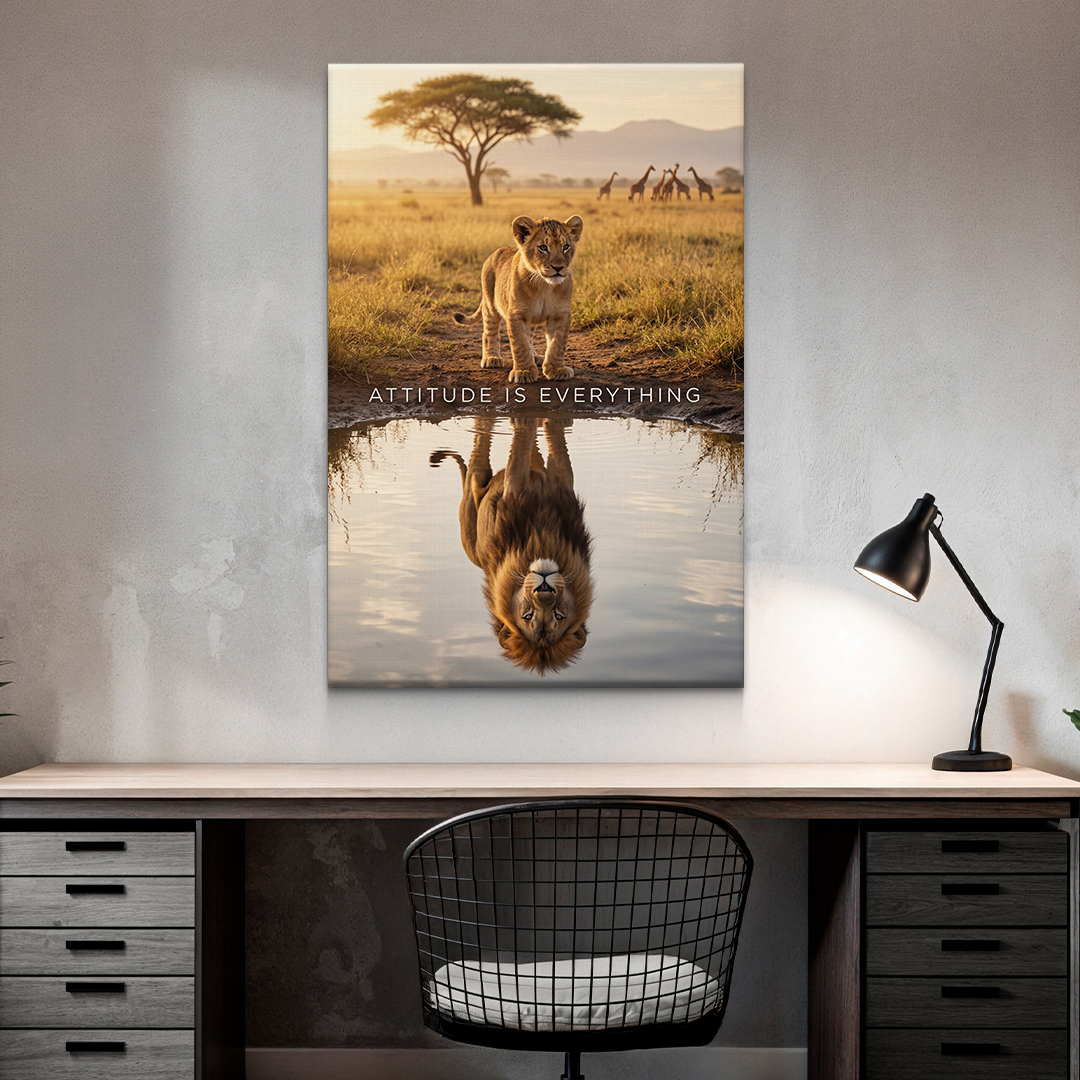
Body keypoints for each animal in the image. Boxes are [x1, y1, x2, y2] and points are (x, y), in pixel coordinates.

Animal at [430, 416, 593, 675]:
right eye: (527, 616)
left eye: (558, 616)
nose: (544, 589)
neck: (542, 537)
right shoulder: (515, 488)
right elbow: (519, 454)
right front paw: (524, 421)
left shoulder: (561, 484)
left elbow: (556, 447)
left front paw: (555, 421)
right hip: (473, 493)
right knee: (480, 450)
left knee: (534, 456)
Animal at [453, 215, 583, 384]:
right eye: (543, 247)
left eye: (566, 246)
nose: (558, 268)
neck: (544, 285)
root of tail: (497, 251)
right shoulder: (516, 314)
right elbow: (520, 344)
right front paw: (524, 372)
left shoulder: (561, 314)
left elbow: (557, 344)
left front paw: (557, 369)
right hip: (490, 305)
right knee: (489, 332)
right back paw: (492, 358)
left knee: (530, 337)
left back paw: (535, 356)